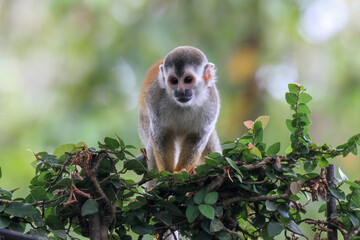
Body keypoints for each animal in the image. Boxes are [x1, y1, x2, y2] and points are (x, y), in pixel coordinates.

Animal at [139, 46, 221, 174]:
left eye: (188, 79)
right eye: (174, 81)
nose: (181, 91)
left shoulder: (212, 103)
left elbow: (197, 138)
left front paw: (181, 171)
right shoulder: (155, 99)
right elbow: (161, 135)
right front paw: (166, 173)